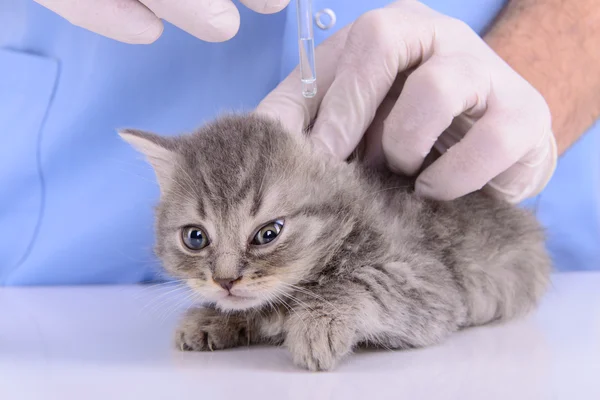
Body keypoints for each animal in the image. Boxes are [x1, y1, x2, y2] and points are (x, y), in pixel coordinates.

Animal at [119, 113, 552, 372]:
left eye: (268, 233)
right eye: (195, 237)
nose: (225, 281)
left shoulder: (428, 284)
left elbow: (361, 282)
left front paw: (317, 321)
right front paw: (213, 317)